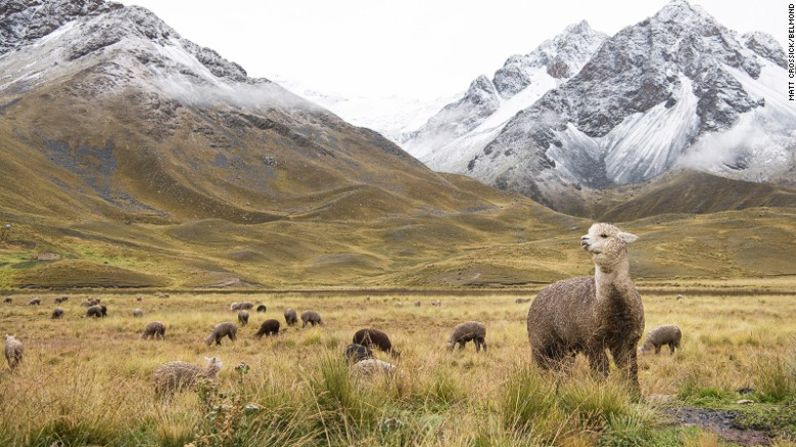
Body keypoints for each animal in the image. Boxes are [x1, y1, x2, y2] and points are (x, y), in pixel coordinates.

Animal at [524, 223, 644, 392]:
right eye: (589, 232)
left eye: (604, 235)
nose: (583, 239)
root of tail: (538, 295)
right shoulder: (593, 340)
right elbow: (601, 371)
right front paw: (601, 392)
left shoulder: (628, 340)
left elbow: (630, 369)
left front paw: (635, 394)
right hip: (541, 339)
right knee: (540, 365)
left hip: (565, 346)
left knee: (561, 368)